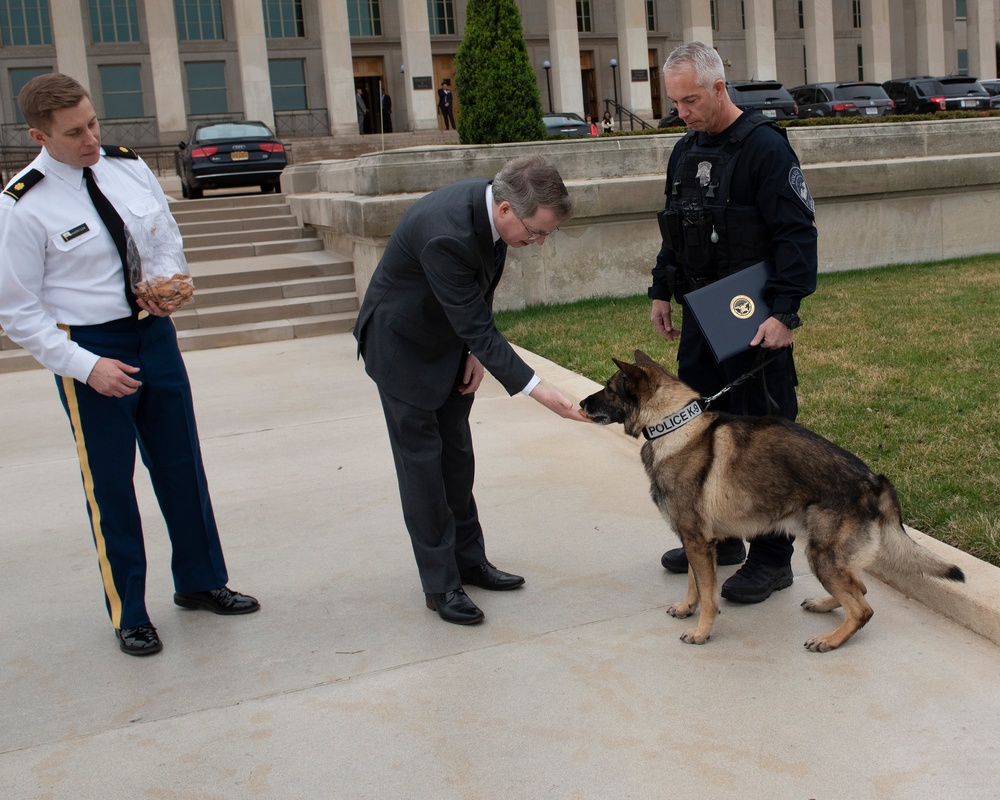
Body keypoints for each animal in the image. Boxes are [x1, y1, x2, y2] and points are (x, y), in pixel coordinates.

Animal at [584, 350, 964, 648]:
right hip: (831, 558)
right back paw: (825, 606)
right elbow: (695, 583)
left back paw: (830, 640)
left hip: (821, 556)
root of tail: (874, 481)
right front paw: (685, 608)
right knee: (860, 589)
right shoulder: (695, 542)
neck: (674, 426)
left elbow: (708, 595)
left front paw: (702, 631)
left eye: (609, 388)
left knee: (863, 608)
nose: (582, 403)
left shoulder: (697, 541)